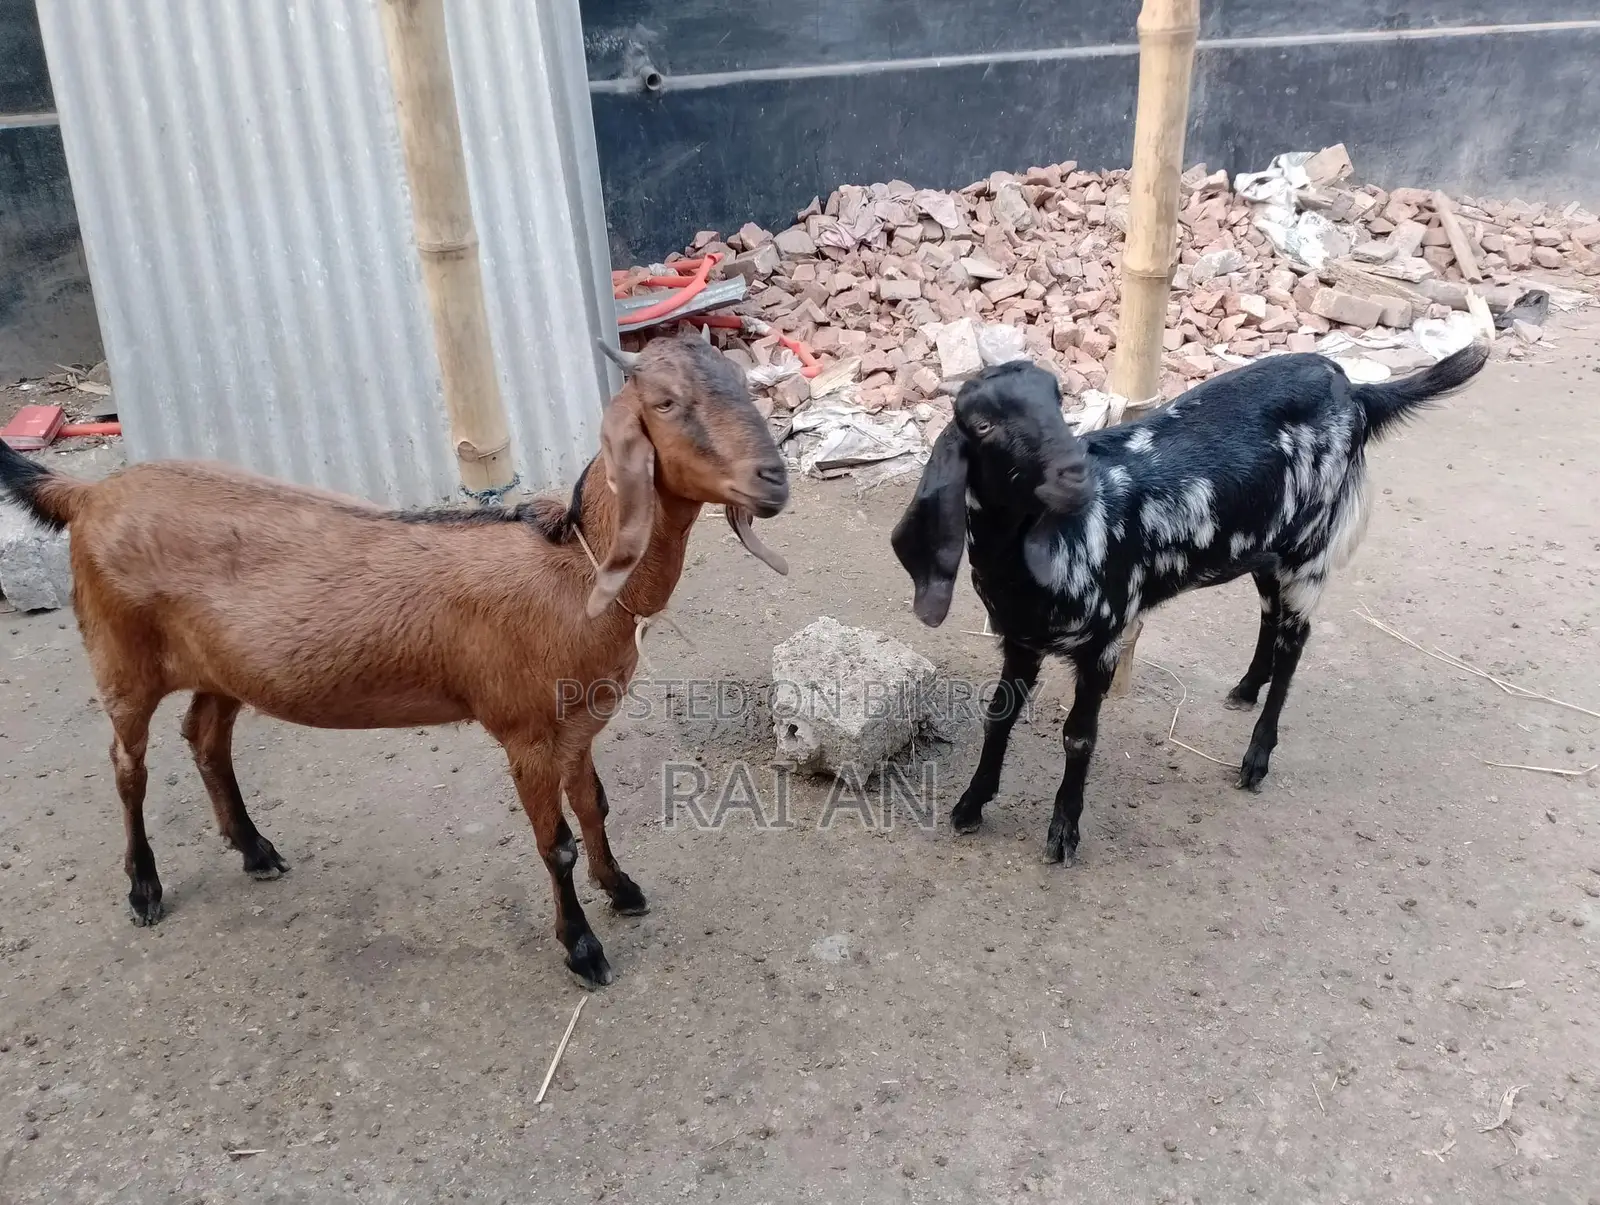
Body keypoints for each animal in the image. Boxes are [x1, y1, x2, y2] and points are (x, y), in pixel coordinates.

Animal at [0, 334, 790, 987]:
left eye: (743, 383)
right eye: (666, 402)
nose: (774, 477)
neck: (575, 567)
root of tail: (90, 493)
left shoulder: (575, 724)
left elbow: (595, 807)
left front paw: (622, 889)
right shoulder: (525, 731)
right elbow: (556, 843)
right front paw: (582, 948)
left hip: (222, 665)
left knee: (205, 737)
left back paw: (255, 849)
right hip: (120, 657)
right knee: (127, 767)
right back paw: (144, 888)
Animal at [892, 342, 1489, 864]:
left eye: (1058, 399)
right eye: (983, 425)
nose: (1075, 473)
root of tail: (1356, 391)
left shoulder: (1104, 640)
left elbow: (1079, 737)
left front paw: (1063, 834)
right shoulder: (1019, 639)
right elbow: (998, 717)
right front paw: (969, 806)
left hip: (1308, 548)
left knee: (1296, 639)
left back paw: (1256, 759)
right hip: (1263, 547)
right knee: (1270, 616)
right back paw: (1246, 689)